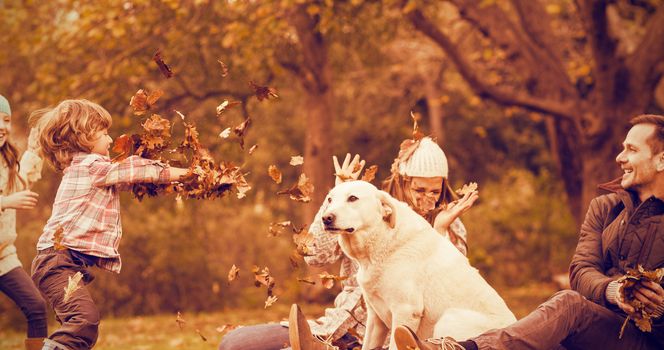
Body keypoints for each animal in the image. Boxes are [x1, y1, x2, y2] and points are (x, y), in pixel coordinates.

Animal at [320, 182, 516, 348]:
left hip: (448, 318)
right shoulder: (375, 318)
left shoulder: (405, 311)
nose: (326, 218)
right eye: (329, 199)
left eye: (353, 198)